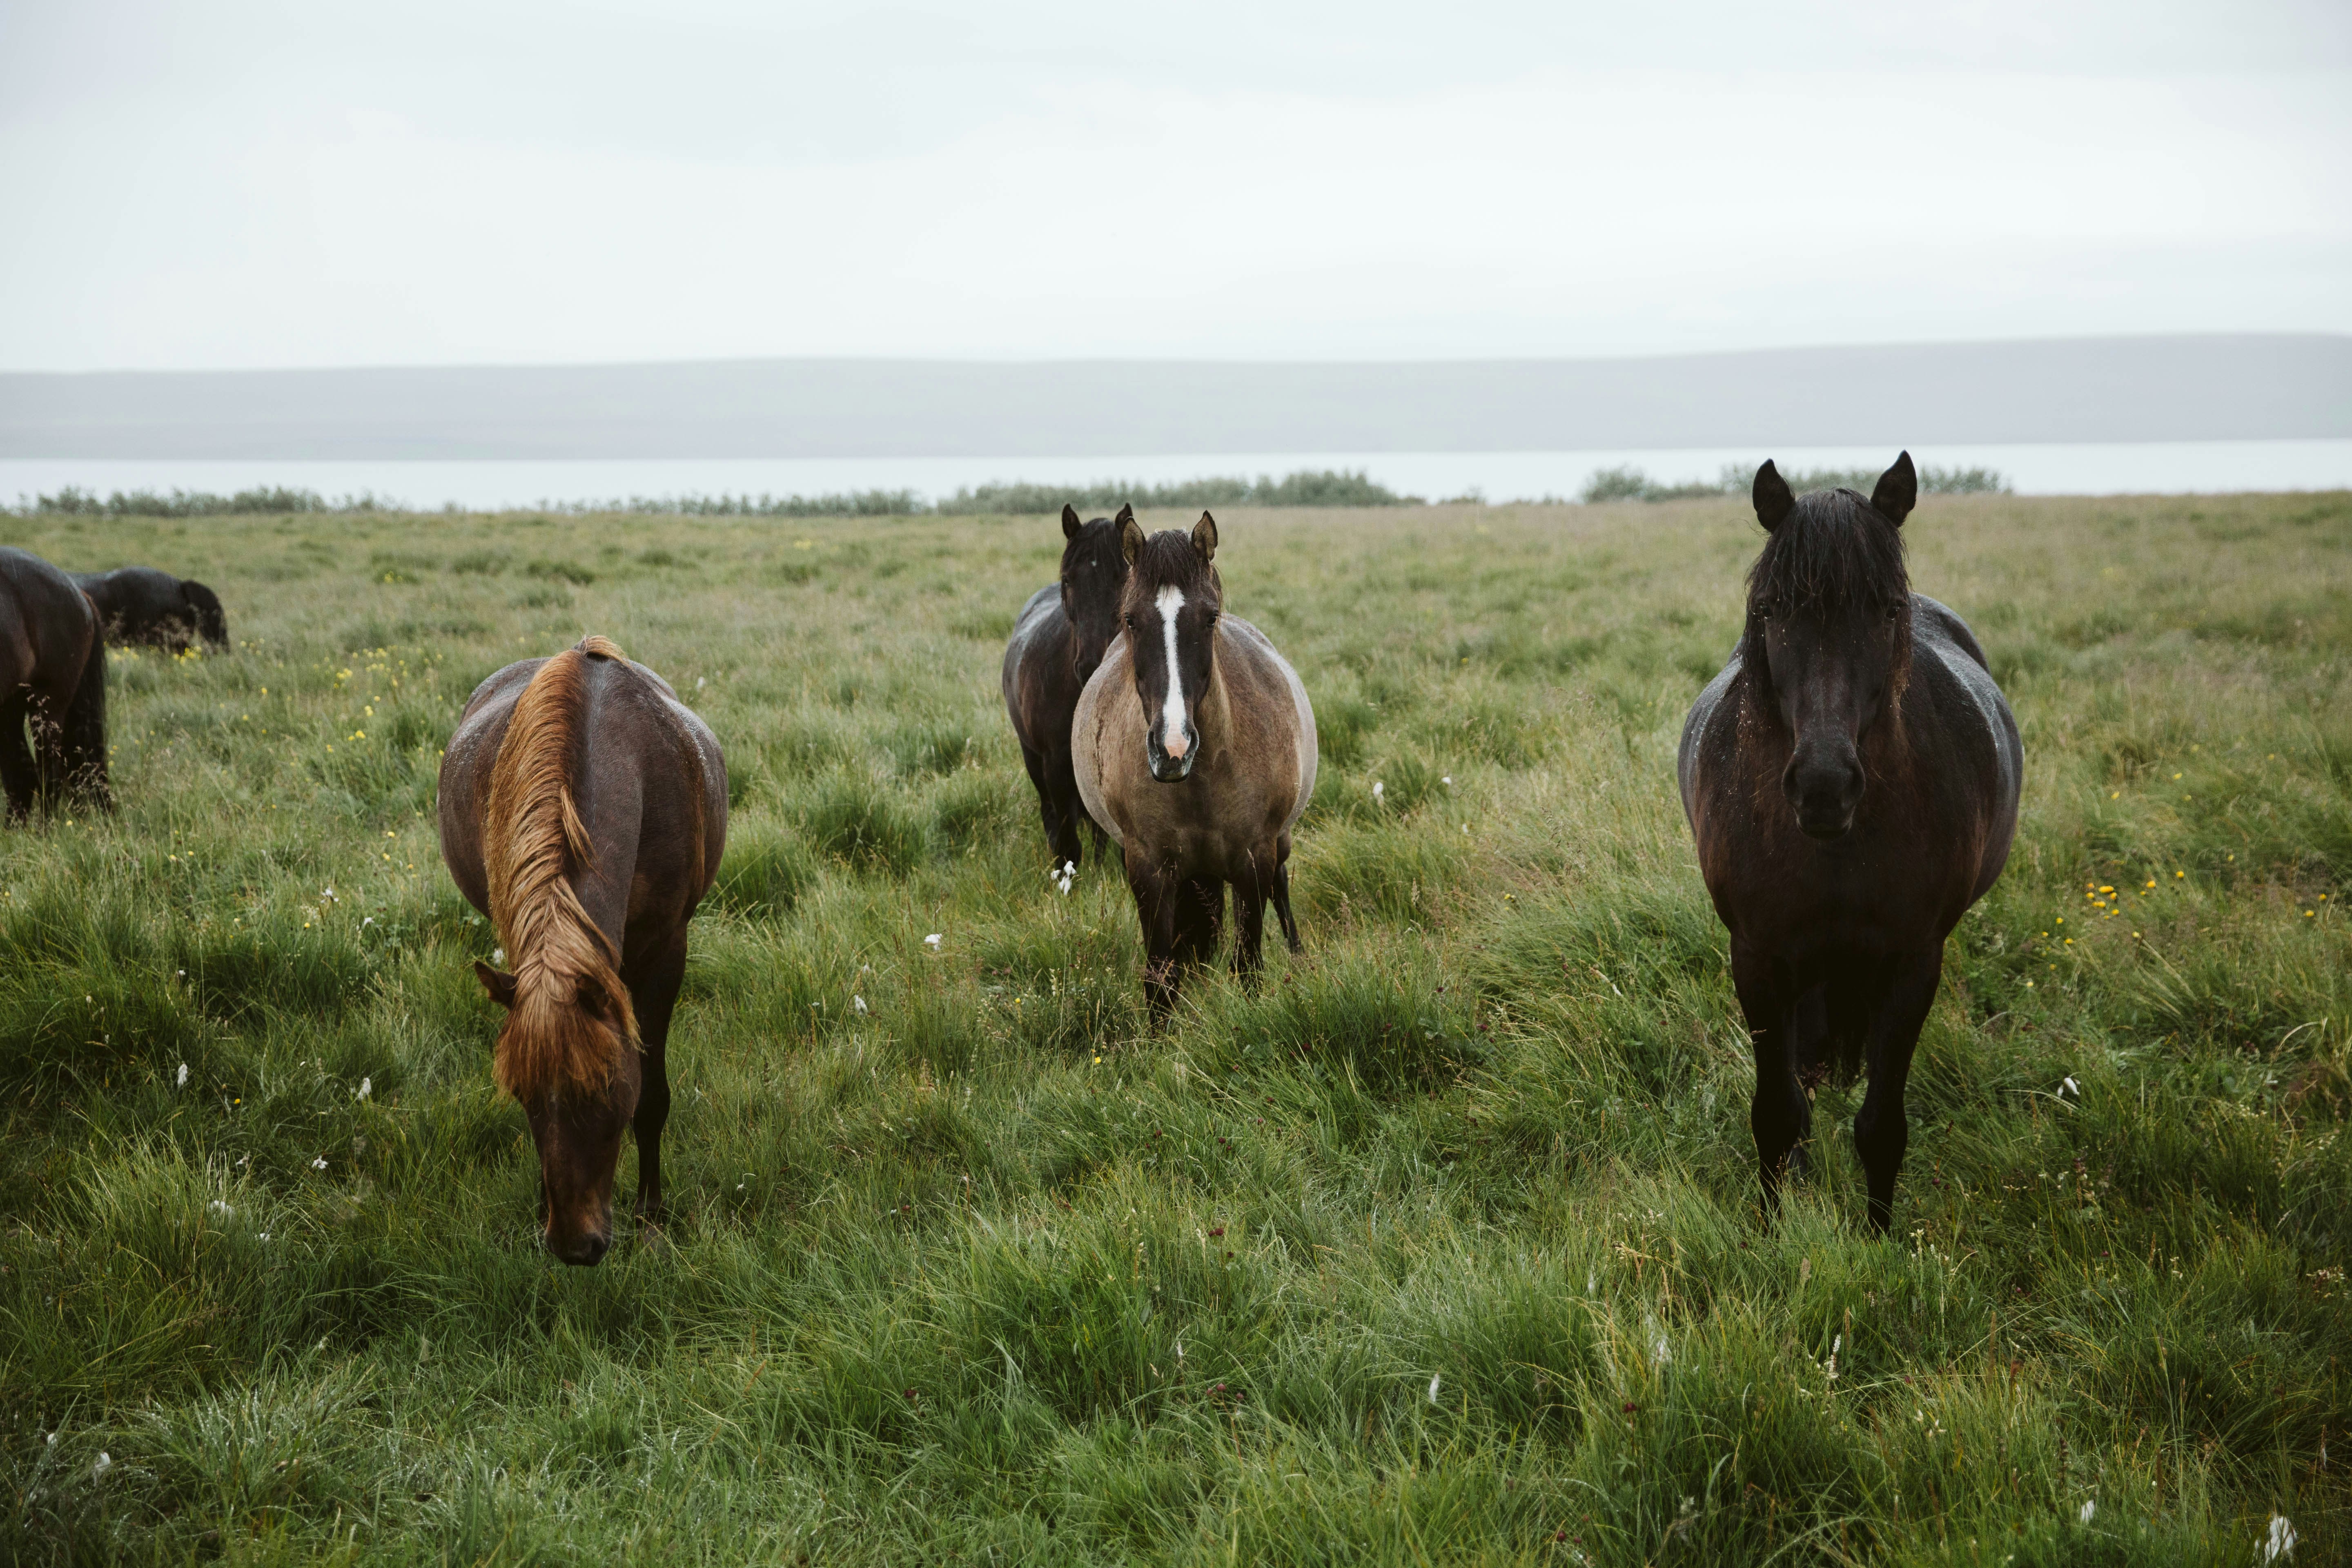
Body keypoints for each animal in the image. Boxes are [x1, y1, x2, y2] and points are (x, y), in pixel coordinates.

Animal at [437, 636, 727, 1265]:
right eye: (522, 1094)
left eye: (605, 1088)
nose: (574, 1246)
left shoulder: (665, 955)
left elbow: (653, 1096)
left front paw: (651, 1218)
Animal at [1003, 503, 1131, 871]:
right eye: (1068, 579)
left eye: (1123, 577)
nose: (1091, 665)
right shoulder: (1057, 766)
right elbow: (1068, 841)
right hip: (1033, 758)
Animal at [1073, 512, 1317, 1020]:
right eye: (1130, 619)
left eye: (1210, 617)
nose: (1173, 747)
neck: (1201, 780)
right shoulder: (1148, 869)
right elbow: (1160, 975)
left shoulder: (1253, 861)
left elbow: (1248, 966)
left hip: (1278, 844)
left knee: (1282, 892)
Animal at [1679, 452, 2021, 1235]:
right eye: (1772, 611)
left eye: (1888, 610)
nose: (1824, 784)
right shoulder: (1757, 958)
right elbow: (1777, 1115)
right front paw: (1771, 1231)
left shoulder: (1913, 962)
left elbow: (1881, 1126)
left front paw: (1878, 1239)